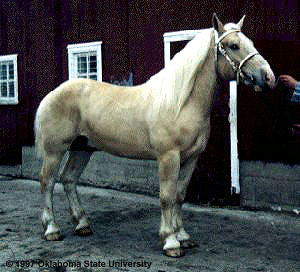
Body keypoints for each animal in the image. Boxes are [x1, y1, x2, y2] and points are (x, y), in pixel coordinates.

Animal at [34, 14, 276, 258]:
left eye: (250, 43)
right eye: (234, 45)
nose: (268, 77)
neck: (179, 103)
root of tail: (52, 94)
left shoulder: (191, 158)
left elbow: (179, 195)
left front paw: (183, 237)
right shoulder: (169, 157)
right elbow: (166, 197)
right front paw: (170, 241)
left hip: (82, 149)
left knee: (69, 179)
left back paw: (82, 224)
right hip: (55, 151)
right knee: (47, 181)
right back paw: (52, 229)